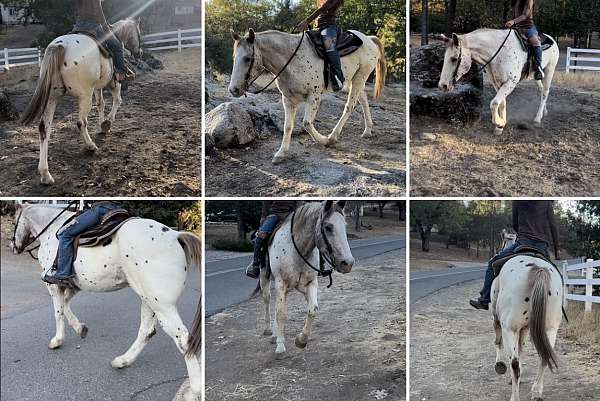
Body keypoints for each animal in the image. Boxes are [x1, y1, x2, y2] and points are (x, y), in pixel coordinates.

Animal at [9, 205, 204, 398]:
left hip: (162, 305)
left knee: (182, 338)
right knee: (147, 332)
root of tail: (175, 235)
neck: (52, 228)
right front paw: (80, 329)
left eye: (13, 222)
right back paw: (123, 361)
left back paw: (196, 388)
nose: (12, 246)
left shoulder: (53, 284)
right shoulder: (72, 286)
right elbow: (65, 305)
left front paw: (57, 340)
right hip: (149, 299)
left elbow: (58, 311)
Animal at [20, 19, 143, 185]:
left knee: (44, 128)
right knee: (81, 122)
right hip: (85, 96)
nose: (140, 52)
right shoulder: (115, 83)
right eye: (138, 32)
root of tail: (59, 45)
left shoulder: (97, 87)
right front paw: (107, 123)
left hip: (52, 98)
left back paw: (45, 174)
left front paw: (101, 124)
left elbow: (101, 104)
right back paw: (90, 146)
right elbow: (117, 101)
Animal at [227, 28, 386, 163]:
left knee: (350, 106)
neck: (292, 61)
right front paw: (281, 153)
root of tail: (368, 39)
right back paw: (367, 130)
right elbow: (288, 126)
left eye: (247, 58)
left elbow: (306, 123)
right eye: (234, 57)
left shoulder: (314, 96)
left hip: (360, 77)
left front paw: (324, 140)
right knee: (363, 100)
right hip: (355, 80)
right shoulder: (288, 99)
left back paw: (333, 136)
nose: (233, 90)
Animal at [258, 200, 354, 354]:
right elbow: (281, 313)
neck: (297, 250)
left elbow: (312, 309)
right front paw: (280, 345)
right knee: (268, 301)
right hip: (264, 279)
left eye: (344, 226)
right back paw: (269, 330)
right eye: (328, 227)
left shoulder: (311, 283)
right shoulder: (280, 282)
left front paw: (301, 340)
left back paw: (275, 333)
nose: (348, 263)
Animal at [490, 236, 564, 398]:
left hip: (509, 329)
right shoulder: (524, 328)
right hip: (550, 329)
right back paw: (536, 392)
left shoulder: (498, 319)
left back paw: (515, 397)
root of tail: (538, 269)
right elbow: (521, 346)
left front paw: (499, 364)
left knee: (514, 364)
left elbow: (498, 340)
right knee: (544, 357)